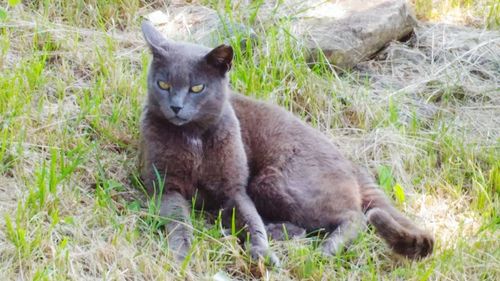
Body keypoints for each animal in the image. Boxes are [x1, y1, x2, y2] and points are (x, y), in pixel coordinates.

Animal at [139, 20, 432, 264]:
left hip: (274, 181)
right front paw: (181, 252)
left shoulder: (235, 188)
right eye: (163, 84)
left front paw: (263, 253)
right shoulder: (166, 185)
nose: (176, 107)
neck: (195, 139)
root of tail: (353, 166)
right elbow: (178, 220)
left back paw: (325, 250)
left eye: (197, 88)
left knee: (356, 217)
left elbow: (251, 220)